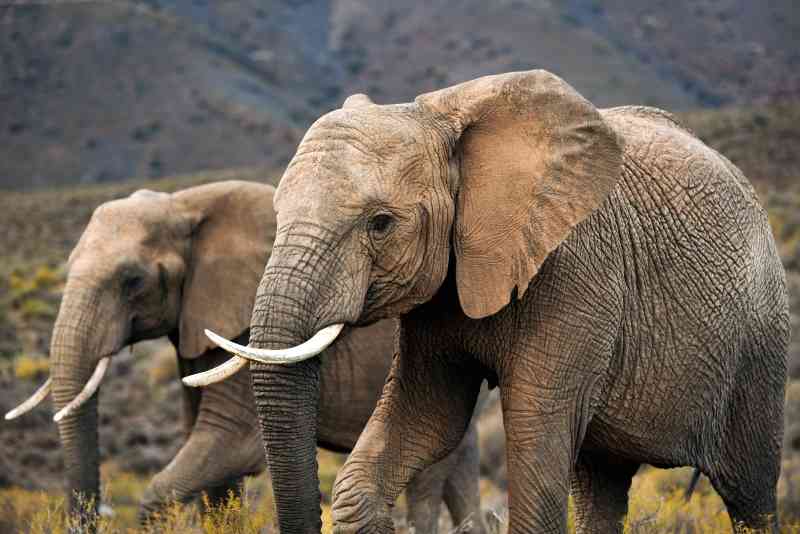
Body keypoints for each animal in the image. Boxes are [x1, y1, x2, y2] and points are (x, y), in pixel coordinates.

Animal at [6, 180, 487, 533]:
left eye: (133, 280)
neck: (185, 204)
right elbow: (210, 461)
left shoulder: (239, 318)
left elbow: (229, 443)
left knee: (427, 484)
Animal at [196, 70, 790, 534]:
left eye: (380, 223)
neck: (440, 120)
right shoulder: (439, 295)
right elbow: (428, 416)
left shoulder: (575, 272)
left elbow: (531, 440)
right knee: (601, 485)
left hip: (762, 339)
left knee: (751, 494)